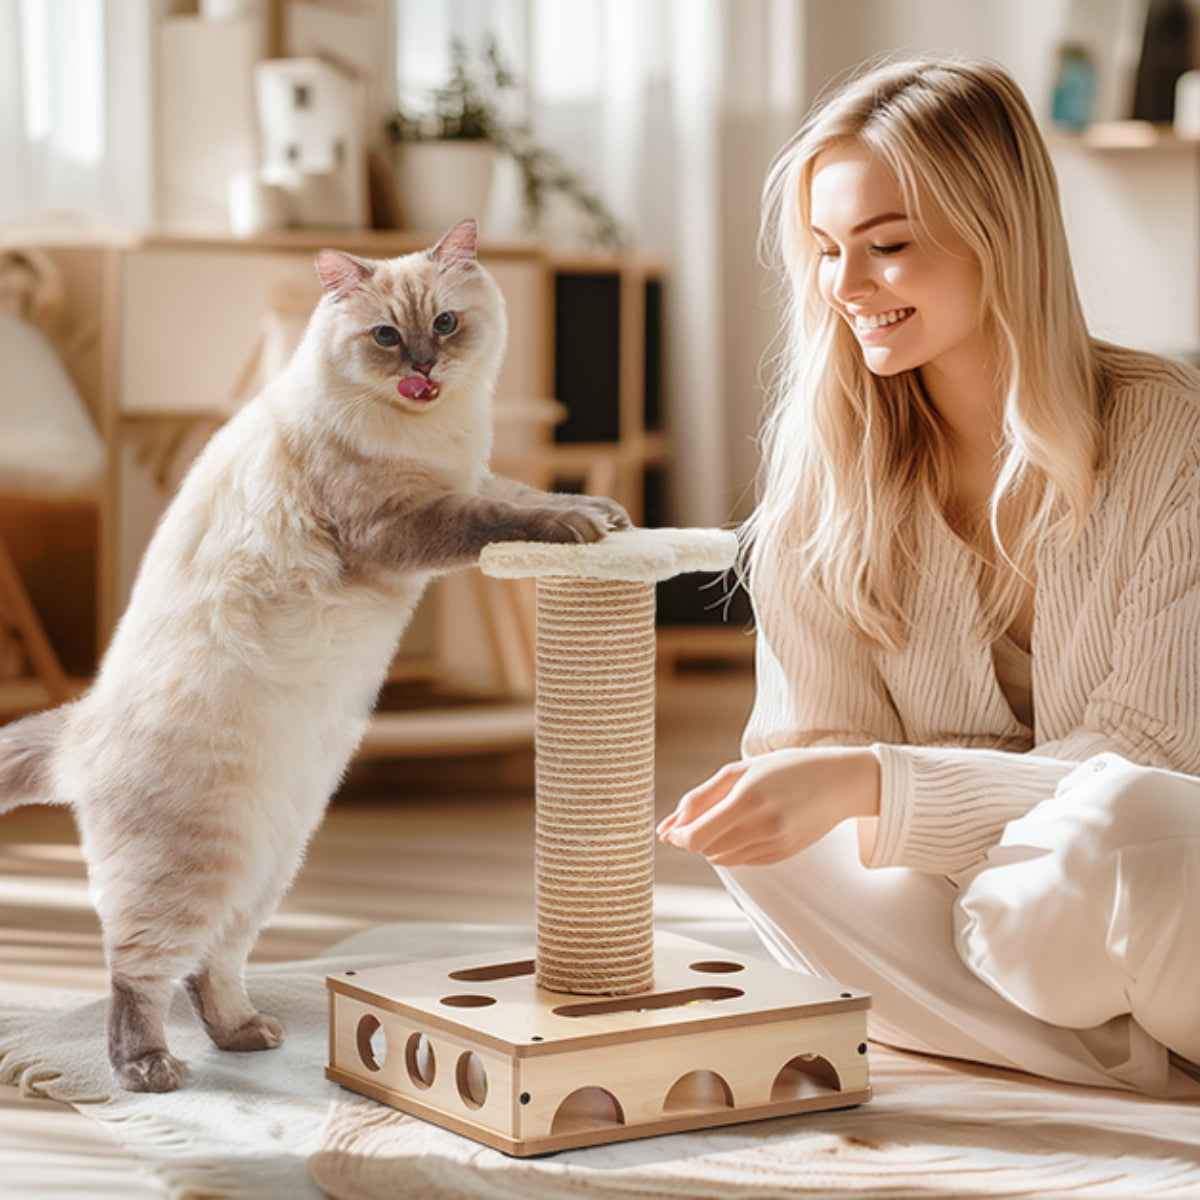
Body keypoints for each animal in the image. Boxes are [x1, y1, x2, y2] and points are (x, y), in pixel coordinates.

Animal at [0, 216, 633, 1089]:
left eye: (445, 324)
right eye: (386, 337)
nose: (424, 367)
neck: (434, 431)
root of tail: (78, 727)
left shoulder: (470, 477)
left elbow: (528, 493)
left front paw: (608, 514)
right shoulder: (409, 522)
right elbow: (504, 519)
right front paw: (578, 530)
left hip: (270, 867)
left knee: (210, 965)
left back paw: (246, 1034)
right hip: (197, 871)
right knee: (138, 972)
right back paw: (151, 1069)